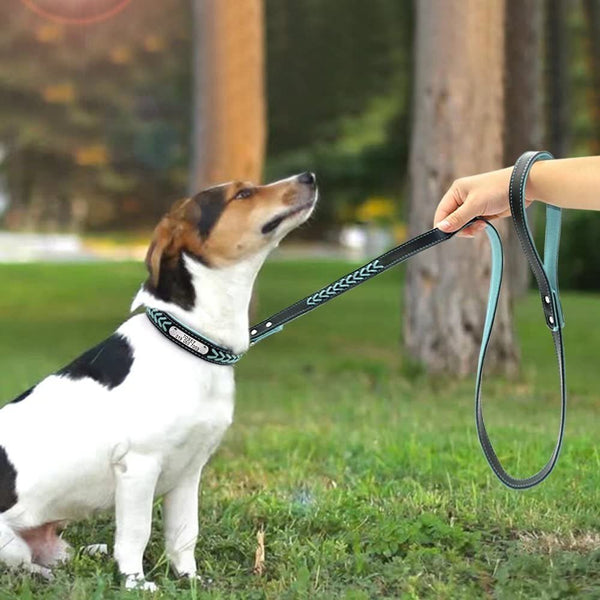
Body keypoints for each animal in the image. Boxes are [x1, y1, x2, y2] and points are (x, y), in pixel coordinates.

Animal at [0, 171, 318, 588]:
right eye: (243, 194)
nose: (309, 176)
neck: (188, 342)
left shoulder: (189, 471)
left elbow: (184, 533)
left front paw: (190, 579)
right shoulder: (139, 466)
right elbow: (137, 532)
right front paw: (135, 582)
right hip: (9, 543)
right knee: (24, 564)